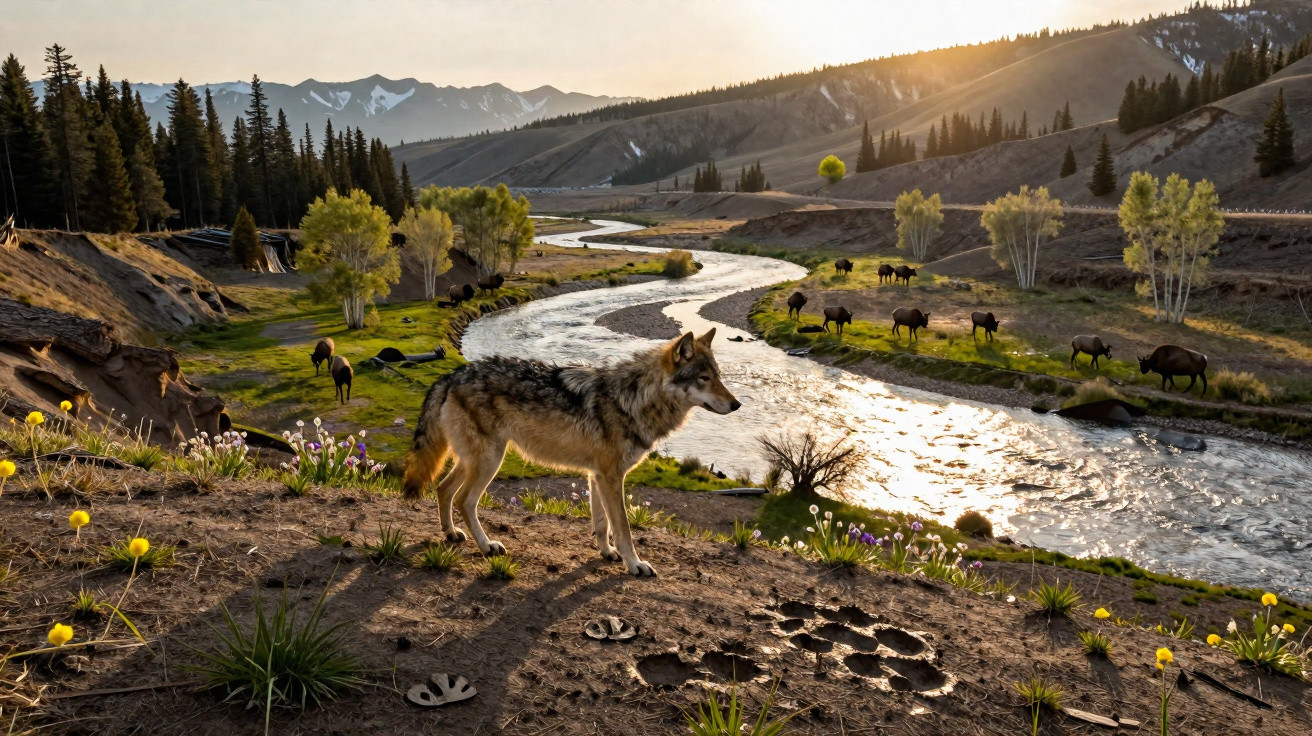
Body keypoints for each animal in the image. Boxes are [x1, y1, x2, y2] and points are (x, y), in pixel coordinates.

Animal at [402, 329, 740, 576]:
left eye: (719, 376)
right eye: (704, 379)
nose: (737, 405)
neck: (633, 399)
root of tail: (452, 374)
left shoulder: (597, 476)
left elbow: (602, 524)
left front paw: (607, 553)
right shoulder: (611, 477)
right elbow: (623, 528)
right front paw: (635, 564)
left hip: (474, 459)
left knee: (443, 488)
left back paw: (450, 534)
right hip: (490, 460)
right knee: (463, 500)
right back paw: (486, 547)